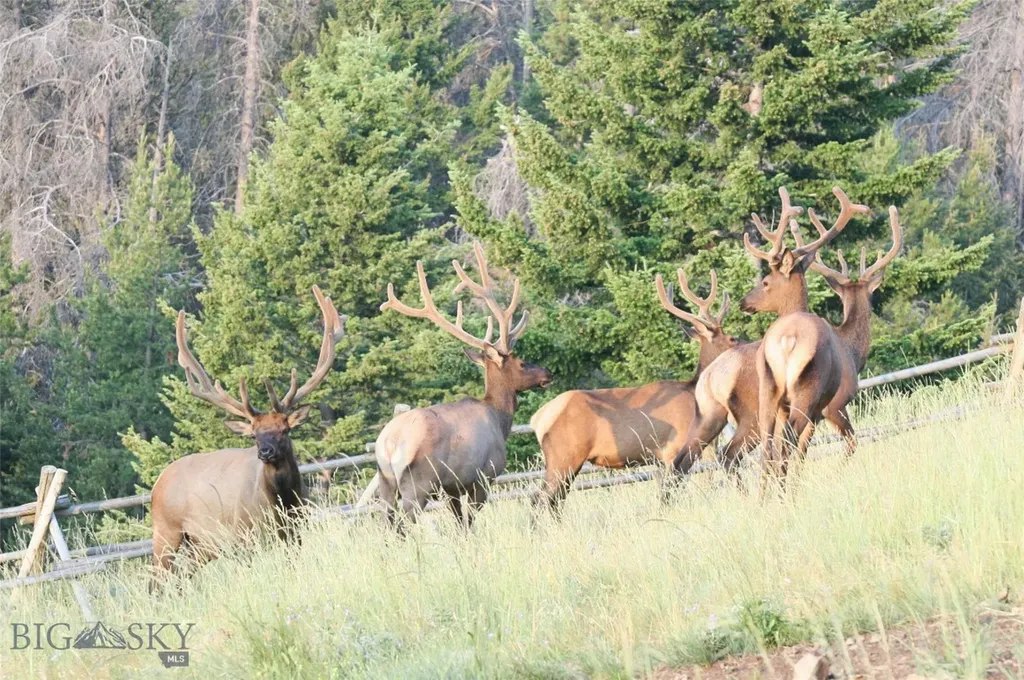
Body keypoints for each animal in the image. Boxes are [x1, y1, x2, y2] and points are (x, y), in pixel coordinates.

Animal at [150, 286, 344, 580]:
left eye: (285, 430)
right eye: (254, 435)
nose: (265, 451)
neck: (280, 503)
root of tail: (157, 483)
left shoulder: (295, 531)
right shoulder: (245, 538)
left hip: (199, 545)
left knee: (181, 577)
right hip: (165, 531)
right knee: (157, 580)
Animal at [372, 242, 552, 530]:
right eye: (522, 362)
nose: (548, 372)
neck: (500, 418)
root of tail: (389, 446)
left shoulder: (452, 488)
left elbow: (459, 524)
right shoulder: (483, 477)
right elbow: (469, 522)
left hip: (385, 482)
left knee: (388, 523)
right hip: (417, 483)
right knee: (405, 522)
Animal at [529, 270, 738, 512]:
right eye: (730, 338)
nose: (743, 341)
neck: (695, 397)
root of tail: (537, 419)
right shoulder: (674, 448)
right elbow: (676, 489)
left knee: (554, 499)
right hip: (564, 455)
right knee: (540, 498)